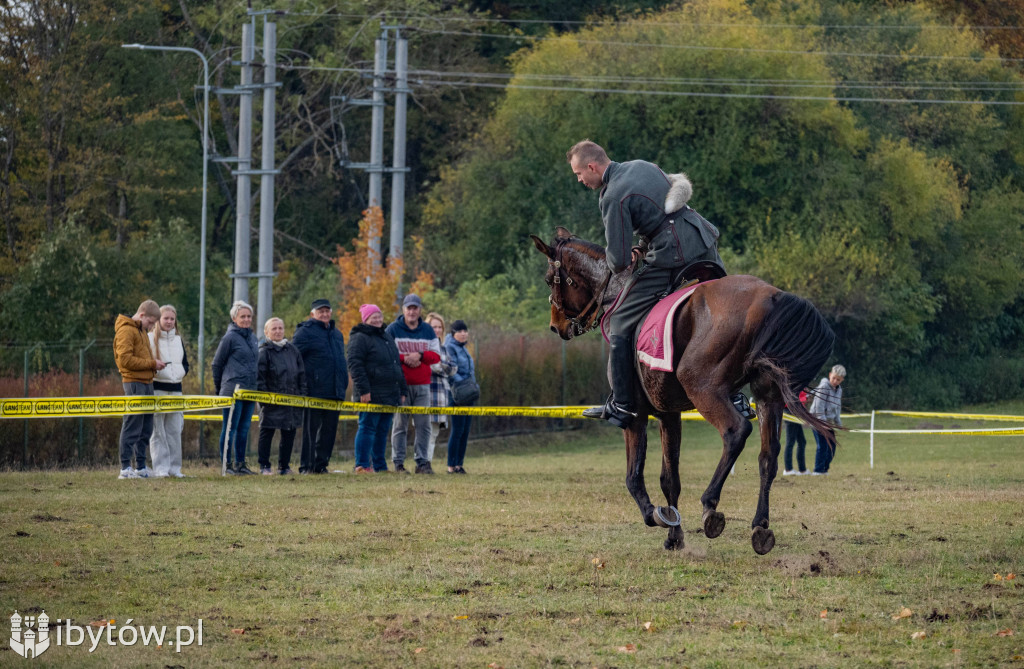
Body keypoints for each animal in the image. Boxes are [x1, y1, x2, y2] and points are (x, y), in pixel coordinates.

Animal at [532, 228, 835, 553]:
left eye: (549, 280)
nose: (555, 326)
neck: (617, 290)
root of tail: (770, 296)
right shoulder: (669, 414)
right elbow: (670, 478)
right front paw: (674, 534)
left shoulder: (636, 416)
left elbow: (633, 477)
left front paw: (657, 515)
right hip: (768, 396)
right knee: (769, 455)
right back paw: (760, 526)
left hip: (702, 387)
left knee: (735, 431)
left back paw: (710, 505)